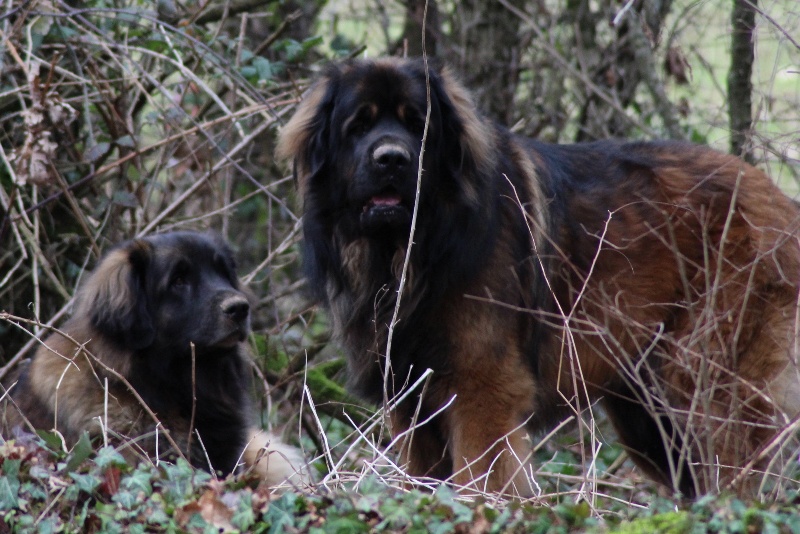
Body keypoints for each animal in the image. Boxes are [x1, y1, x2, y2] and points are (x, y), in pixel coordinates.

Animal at [278, 57, 800, 498]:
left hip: (707, 377)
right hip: (647, 411)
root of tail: (778, 198)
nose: (392, 159)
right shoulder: (411, 399)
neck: (412, 249)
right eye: (358, 126)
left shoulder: (481, 387)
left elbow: (481, 480)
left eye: (417, 125)